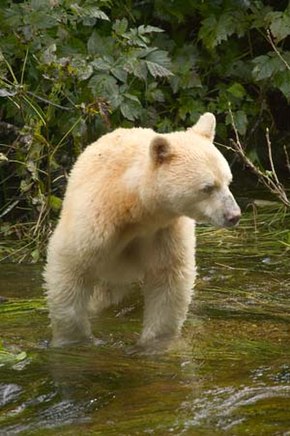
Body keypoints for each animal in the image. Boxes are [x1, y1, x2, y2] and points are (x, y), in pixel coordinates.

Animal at [44, 112, 241, 348]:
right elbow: (70, 266)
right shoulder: (95, 222)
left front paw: (154, 343)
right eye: (208, 187)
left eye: (228, 181)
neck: (133, 207)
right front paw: (74, 340)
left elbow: (168, 279)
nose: (234, 215)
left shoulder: (165, 230)